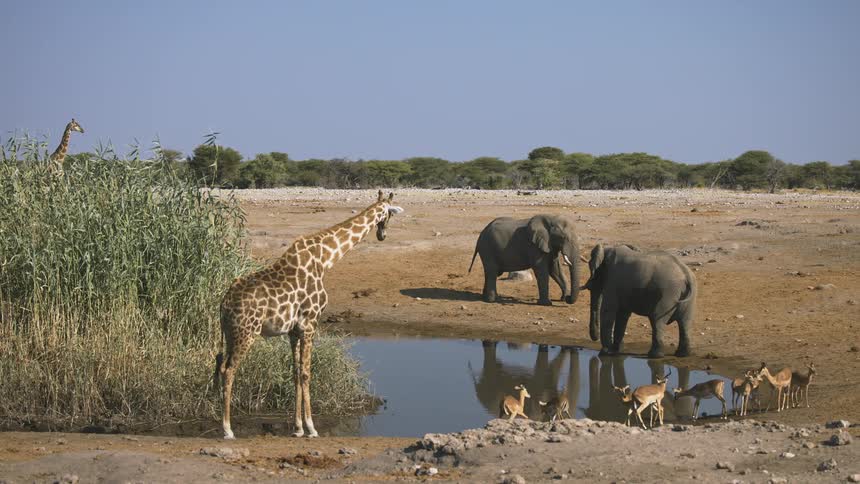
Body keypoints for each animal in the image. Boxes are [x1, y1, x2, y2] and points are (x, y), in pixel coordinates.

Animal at [215, 190, 404, 439]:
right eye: (390, 214)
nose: (383, 234)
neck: (325, 259)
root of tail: (223, 304)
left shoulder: (294, 330)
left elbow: (296, 373)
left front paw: (297, 428)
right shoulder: (310, 323)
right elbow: (307, 374)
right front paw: (312, 428)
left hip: (229, 333)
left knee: (220, 365)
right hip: (247, 332)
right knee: (229, 370)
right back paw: (227, 429)